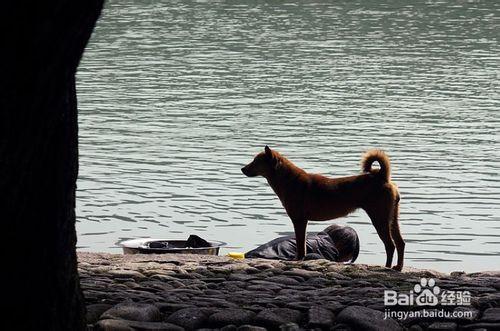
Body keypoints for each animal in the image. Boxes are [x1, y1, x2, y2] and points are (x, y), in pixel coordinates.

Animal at [242, 148, 406, 272]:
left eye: (256, 161)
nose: (242, 169)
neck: (288, 180)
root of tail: (382, 177)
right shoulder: (303, 221)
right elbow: (302, 244)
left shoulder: (299, 220)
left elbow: (300, 245)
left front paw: (297, 259)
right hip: (392, 218)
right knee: (400, 243)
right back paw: (398, 267)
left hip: (379, 218)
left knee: (390, 245)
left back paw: (387, 267)